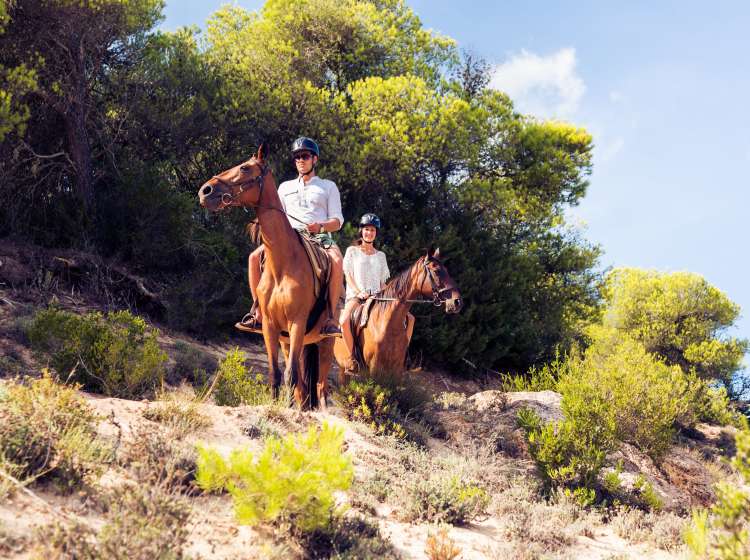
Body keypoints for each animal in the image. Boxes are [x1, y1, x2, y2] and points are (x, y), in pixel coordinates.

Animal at [197, 143, 334, 406]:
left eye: (244, 167)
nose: (205, 190)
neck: (284, 264)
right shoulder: (271, 328)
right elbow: (275, 374)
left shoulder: (297, 323)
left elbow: (290, 375)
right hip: (289, 341)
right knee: (303, 386)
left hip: (325, 342)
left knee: (320, 386)